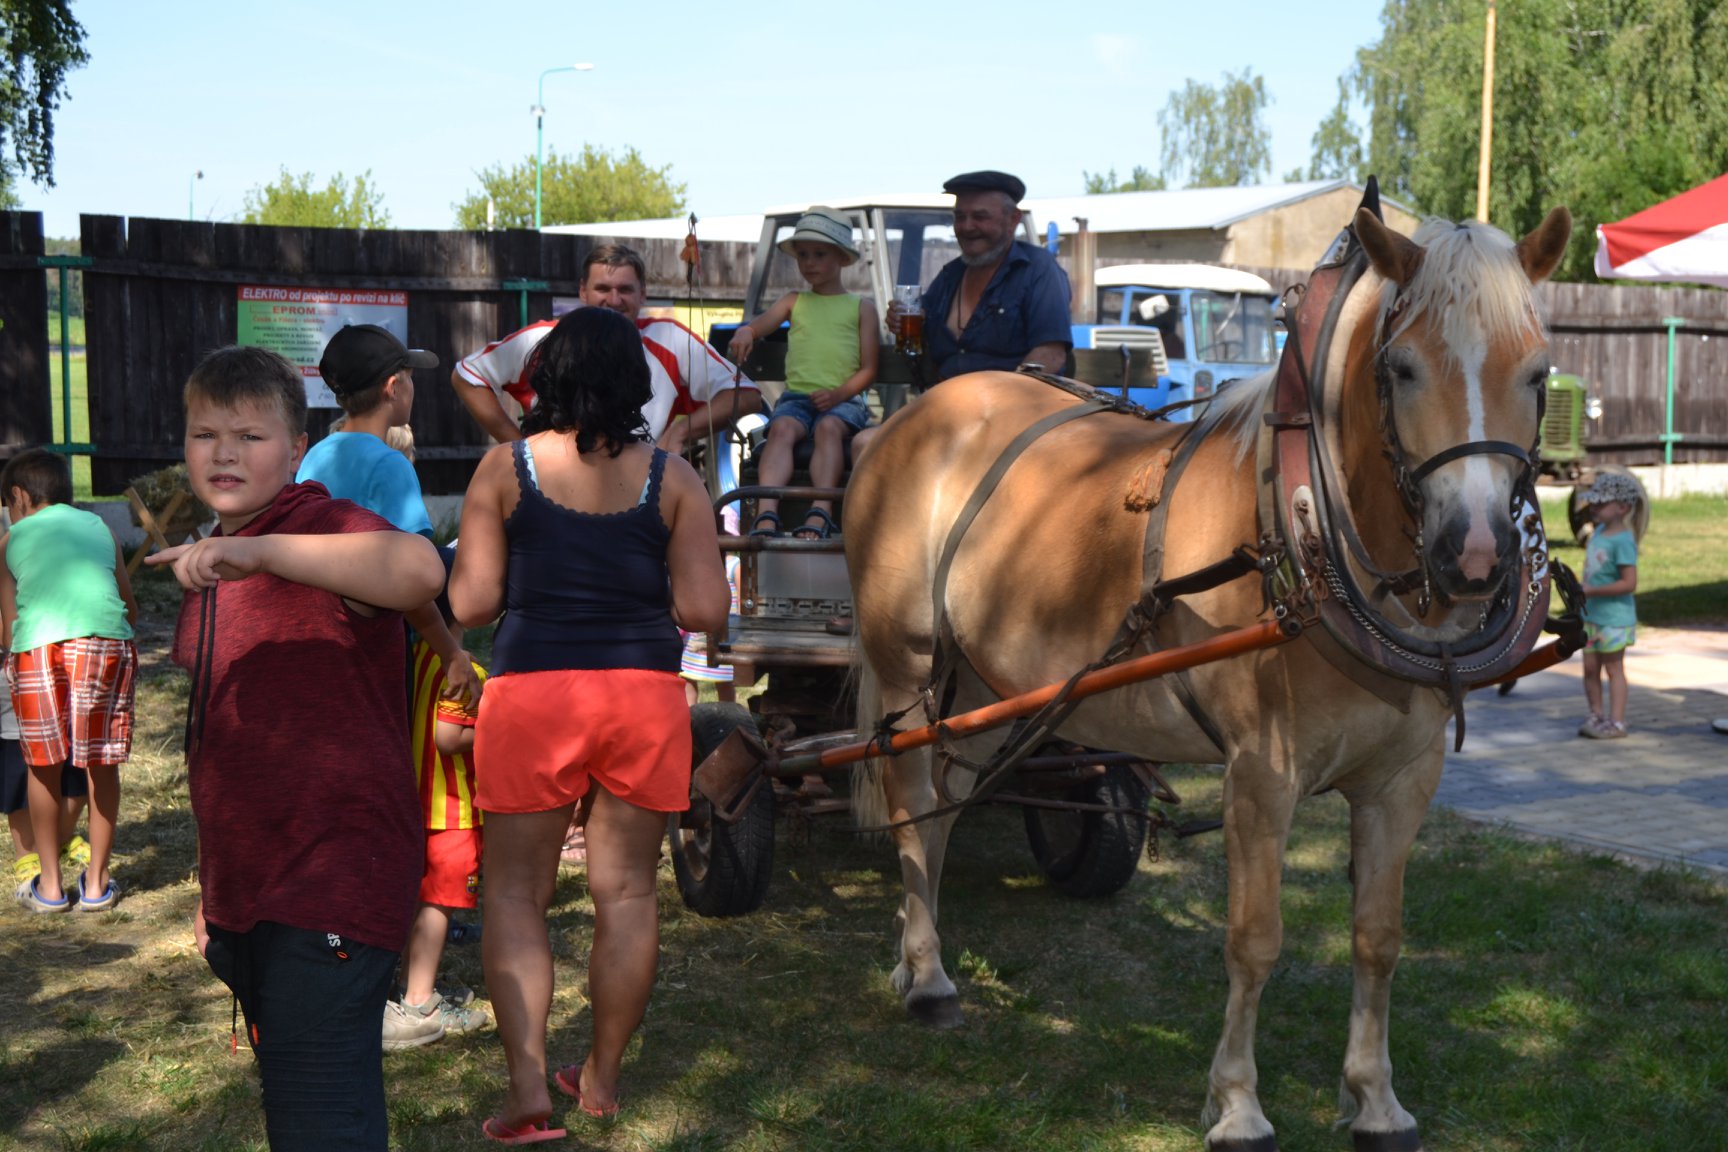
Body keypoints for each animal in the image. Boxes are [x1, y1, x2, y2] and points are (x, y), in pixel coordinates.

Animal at [843, 200, 1575, 1152]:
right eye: (1403, 368)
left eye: (1537, 371)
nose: (1477, 557)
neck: (1307, 534)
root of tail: (907, 417)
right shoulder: (1261, 773)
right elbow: (1254, 938)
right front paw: (1237, 1104)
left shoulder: (1405, 777)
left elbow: (1378, 937)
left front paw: (1375, 1098)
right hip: (907, 664)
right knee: (907, 798)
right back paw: (928, 975)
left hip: (986, 688)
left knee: (945, 802)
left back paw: (915, 955)